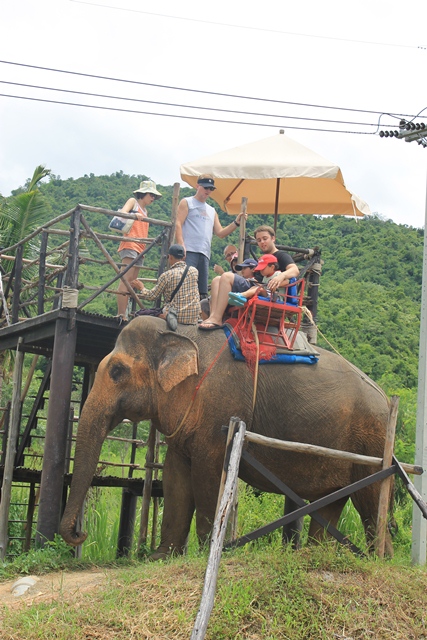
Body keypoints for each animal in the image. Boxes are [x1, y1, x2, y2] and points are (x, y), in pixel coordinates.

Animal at [60, 316, 394, 556]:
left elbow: (208, 474)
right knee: (330, 502)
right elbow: (175, 477)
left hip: (373, 442)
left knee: (370, 500)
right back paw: (312, 557)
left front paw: (203, 552)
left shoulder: (220, 410)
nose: (80, 535)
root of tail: (387, 399)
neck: (182, 332)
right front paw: (161, 556)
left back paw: (380, 560)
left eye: (117, 371)